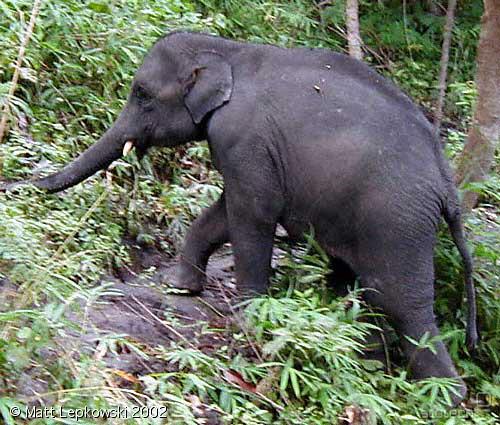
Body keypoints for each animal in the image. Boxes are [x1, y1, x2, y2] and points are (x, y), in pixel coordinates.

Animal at [2, 31, 477, 405]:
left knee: (402, 301)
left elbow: (250, 211)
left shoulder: (243, 137)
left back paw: (445, 398)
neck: (228, 49)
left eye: (142, 94)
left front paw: (248, 320)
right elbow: (223, 210)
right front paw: (179, 286)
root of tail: (447, 184)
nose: (14, 185)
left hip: (396, 220)